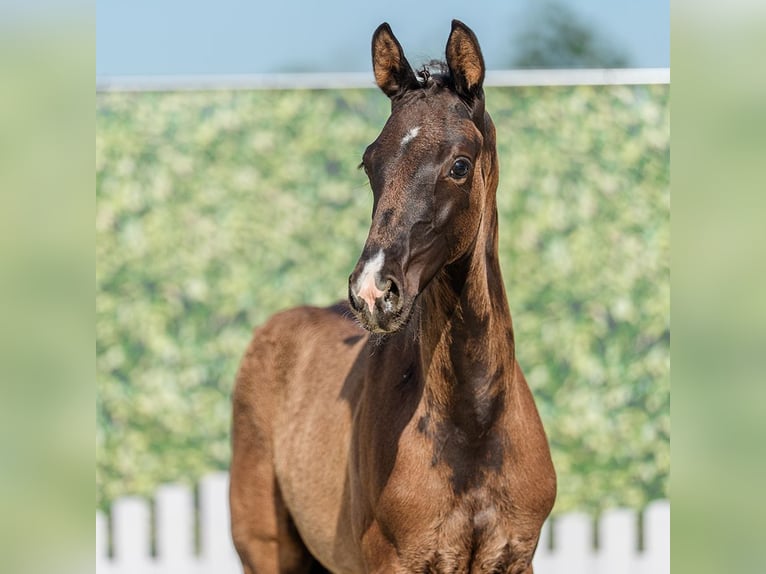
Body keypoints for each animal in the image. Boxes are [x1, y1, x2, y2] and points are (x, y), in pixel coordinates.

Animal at [229, 20, 556, 574]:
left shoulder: (515, 558)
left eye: (460, 165)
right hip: (267, 548)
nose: (372, 291)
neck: (474, 431)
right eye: (368, 163)